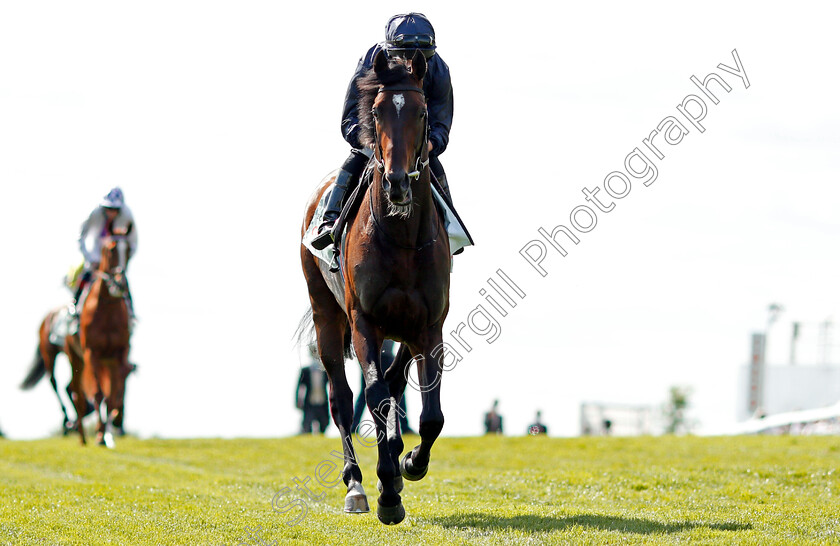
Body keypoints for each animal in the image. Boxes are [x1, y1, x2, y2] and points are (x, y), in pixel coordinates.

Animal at [65, 232, 132, 444]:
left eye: (129, 250)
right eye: (110, 249)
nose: (120, 283)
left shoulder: (120, 353)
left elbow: (113, 394)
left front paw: (106, 431)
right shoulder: (91, 352)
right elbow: (97, 393)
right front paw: (100, 434)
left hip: (107, 361)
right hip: (75, 357)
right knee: (77, 392)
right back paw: (82, 437)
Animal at [298, 51, 450, 524]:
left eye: (420, 112)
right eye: (378, 111)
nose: (397, 182)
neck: (400, 238)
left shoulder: (428, 325)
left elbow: (430, 414)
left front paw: (409, 464)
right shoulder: (363, 321)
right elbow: (375, 397)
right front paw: (387, 493)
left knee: (394, 382)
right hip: (326, 315)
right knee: (342, 399)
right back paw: (357, 484)